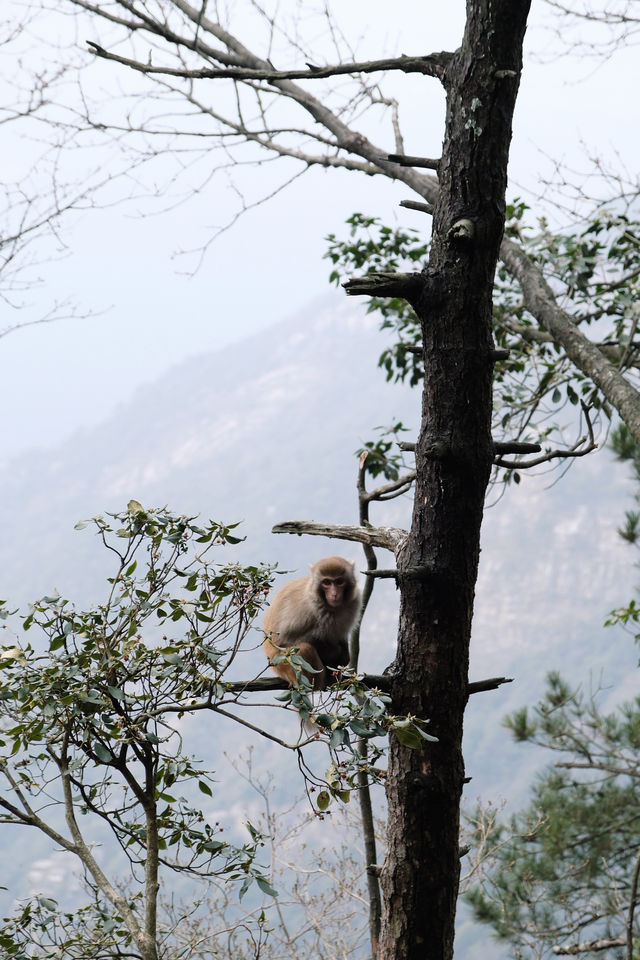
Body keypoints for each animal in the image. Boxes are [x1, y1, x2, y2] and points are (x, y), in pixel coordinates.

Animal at [264, 556, 362, 688]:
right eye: (326, 582)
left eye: (339, 581)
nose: (334, 594)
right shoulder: (307, 609)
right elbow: (285, 639)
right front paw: (334, 654)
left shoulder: (354, 602)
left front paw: (344, 655)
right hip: (280, 663)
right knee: (303, 649)